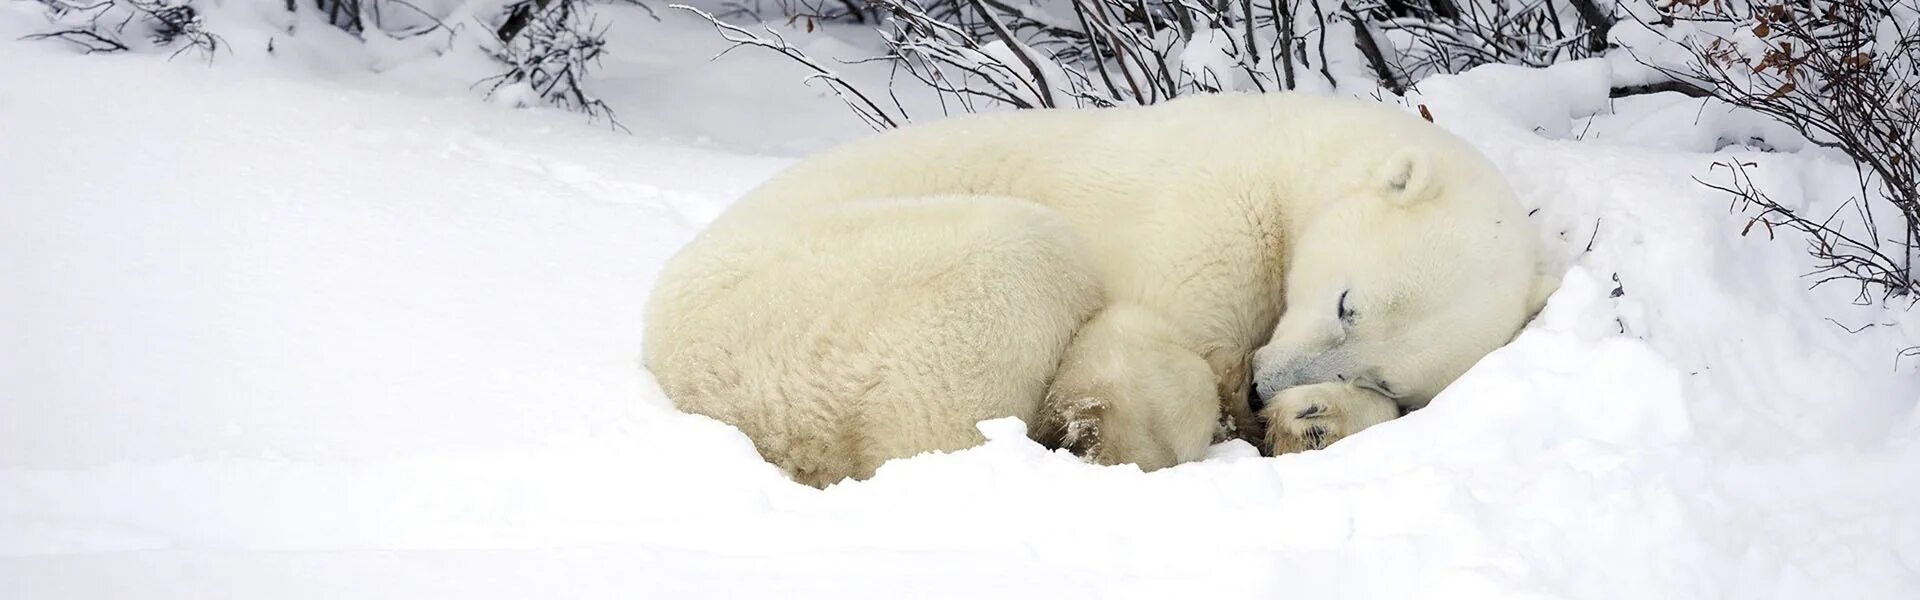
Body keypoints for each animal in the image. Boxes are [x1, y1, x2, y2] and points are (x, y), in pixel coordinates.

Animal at [652, 92, 1551, 488]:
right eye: (1345, 303)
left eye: (1383, 373)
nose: (1266, 390)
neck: (1291, 157)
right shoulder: (1208, 213)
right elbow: (1146, 340)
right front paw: (1121, 431)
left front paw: (1314, 421)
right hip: (809, 299)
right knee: (1013, 267)